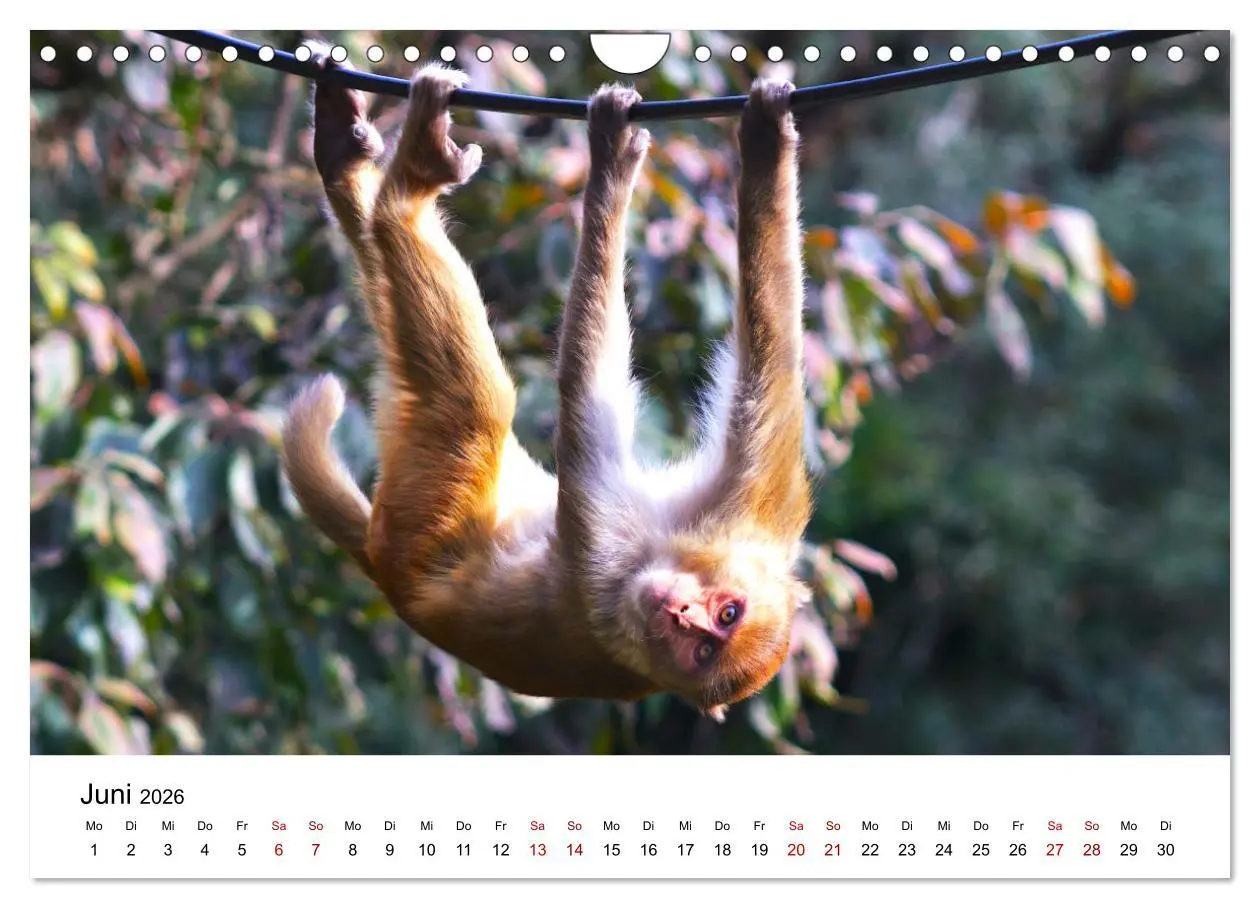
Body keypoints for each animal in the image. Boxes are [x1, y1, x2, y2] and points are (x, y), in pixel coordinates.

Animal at [282, 52, 812, 720]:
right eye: (726, 613)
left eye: (706, 647)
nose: (681, 614)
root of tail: (380, 571)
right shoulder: (755, 510)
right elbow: (772, 362)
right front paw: (768, 143)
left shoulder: (605, 575)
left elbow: (586, 400)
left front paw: (611, 165)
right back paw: (347, 158)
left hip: (415, 517)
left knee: (474, 402)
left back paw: (410, 185)